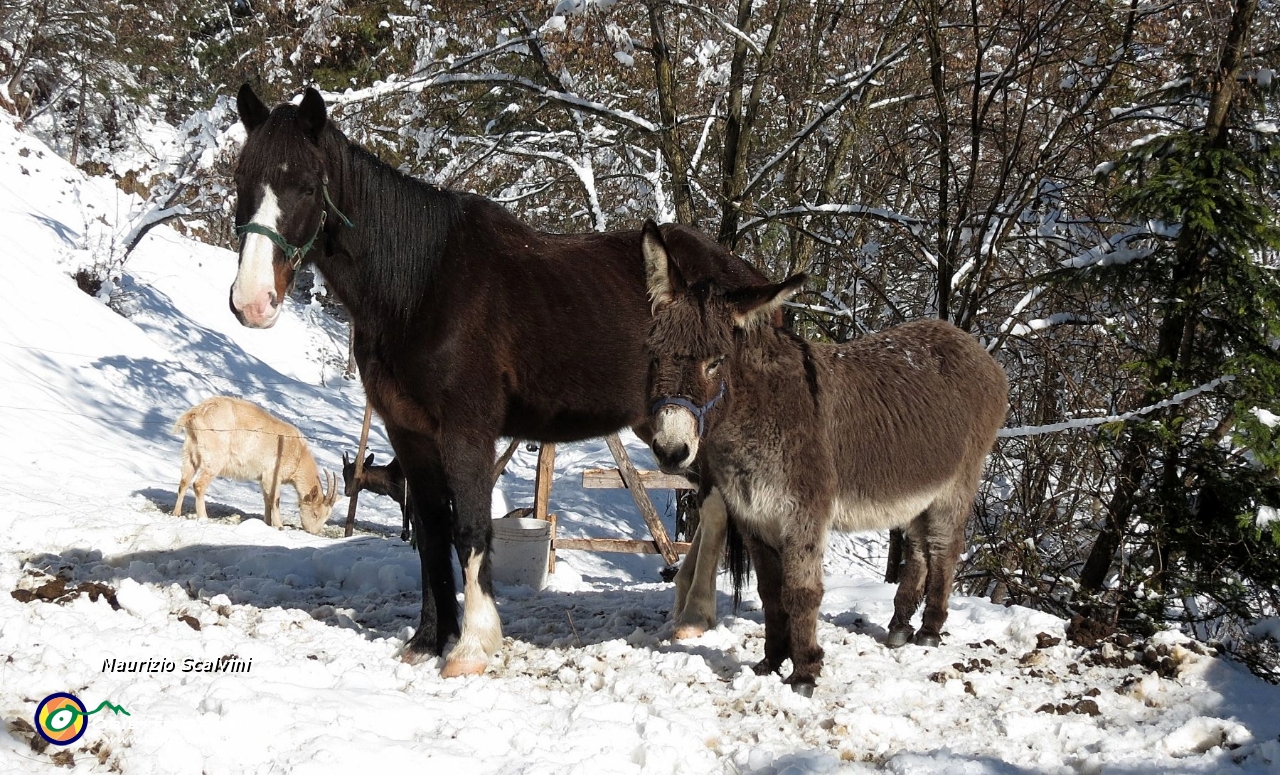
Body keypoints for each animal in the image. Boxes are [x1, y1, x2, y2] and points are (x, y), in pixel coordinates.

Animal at [171, 397, 340, 535]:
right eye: (315, 513)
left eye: (327, 516)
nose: (314, 532)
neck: (297, 453)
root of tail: (197, 413)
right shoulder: (273, 474)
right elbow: (275, 499)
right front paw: (279, 526)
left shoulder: (263, 477)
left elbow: (266, 499)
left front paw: (267, 523)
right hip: (214, 458)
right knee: (199, 484)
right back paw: (203, 518)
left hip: (190, 451)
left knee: (184, 482)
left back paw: (176, 513)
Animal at [227, 87, 768, 676]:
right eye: (242, 180)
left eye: (306, 186)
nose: (251, 302)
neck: (421, 289)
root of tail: (748, 279)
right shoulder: (407, 432)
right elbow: (431, 532)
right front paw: (427, 640)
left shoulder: (467, 430)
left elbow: (470, 528)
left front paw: (471, 647)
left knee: (719, 506)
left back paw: (701, 618)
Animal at [640, 220, 1008, 691]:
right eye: (654, 355)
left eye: (716, 362)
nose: (671, 451)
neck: (756, 415)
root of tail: (968, 342)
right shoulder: (754, 518)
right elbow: (770, 593)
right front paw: (770, 662)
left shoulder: (804, 514)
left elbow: (800, 593)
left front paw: (804, 672)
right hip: (917, 487)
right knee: (920, 548)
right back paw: (900, 626)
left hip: (956, 483)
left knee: (945, 546)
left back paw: (929, 630)